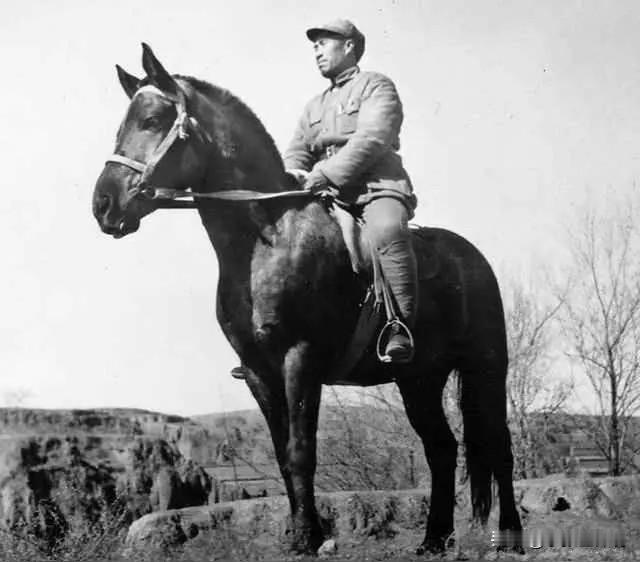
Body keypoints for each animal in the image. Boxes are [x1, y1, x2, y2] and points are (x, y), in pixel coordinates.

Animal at [92, 44, 522, 555]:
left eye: (153, 119)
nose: (103, 205)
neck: (267, 240)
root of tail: (472, 257)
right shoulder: (259, 372)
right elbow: (282, 456)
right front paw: (303, 531)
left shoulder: (301, 360)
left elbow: (301, 452)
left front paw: (306, 537)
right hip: (419, 379)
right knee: (441, 447)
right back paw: (433, 539)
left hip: (485, 369)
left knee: (499, 446)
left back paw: (509, 536)